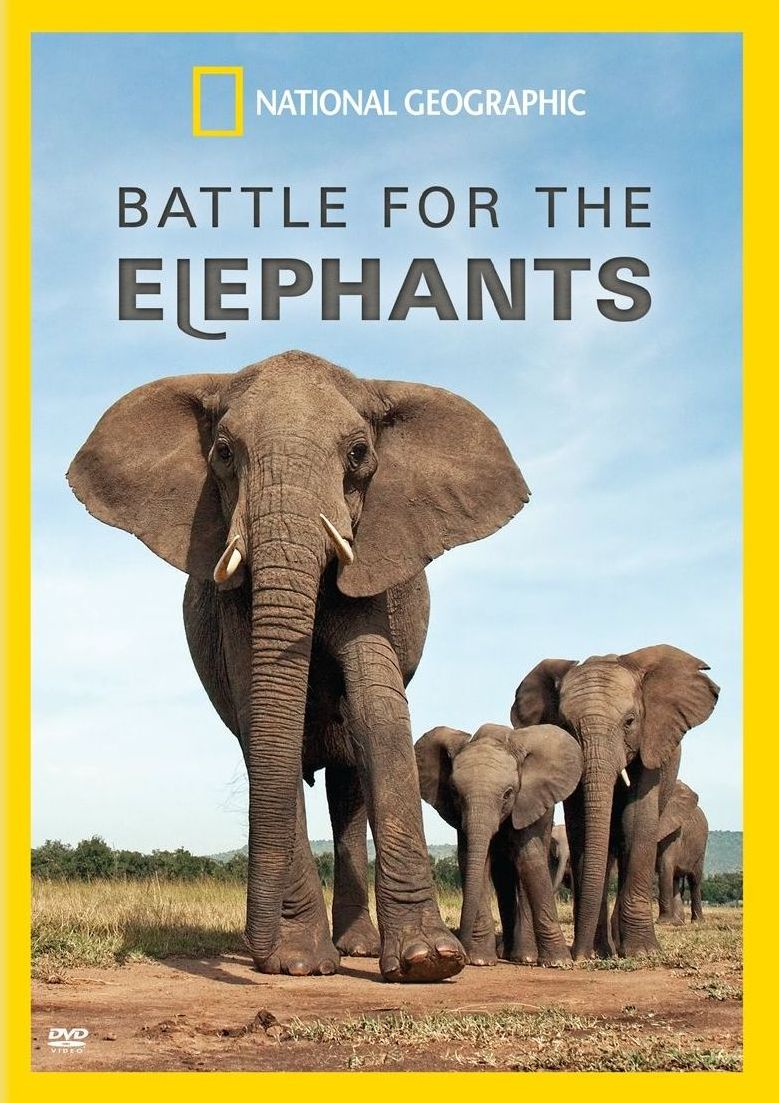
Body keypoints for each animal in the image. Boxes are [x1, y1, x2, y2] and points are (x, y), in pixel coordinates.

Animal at [68, 350, 529, 981]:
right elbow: (259, 714)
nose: (257, 953)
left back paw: (357, 949)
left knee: (347, 777)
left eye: (358, 453)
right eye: (223, 451)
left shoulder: (375, 567)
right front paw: (299, 963)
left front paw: (427, 963)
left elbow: (379, 709)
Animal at [414, 723, 582, 966]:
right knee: (503, 877)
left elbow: (529, 860)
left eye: (508, 794)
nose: (462, 954)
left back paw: (525, 957)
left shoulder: (526, 803)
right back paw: (507, 953)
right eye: (454, 792)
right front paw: (480, 960)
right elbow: (472, 861)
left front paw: (558, 963)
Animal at [656, 781, 708, 924]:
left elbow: (664, 865)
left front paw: (662, 922)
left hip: (701, 848)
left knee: (694, 880)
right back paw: (677, 922)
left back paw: (696, 922)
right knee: (675, 878)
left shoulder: (674, 829)